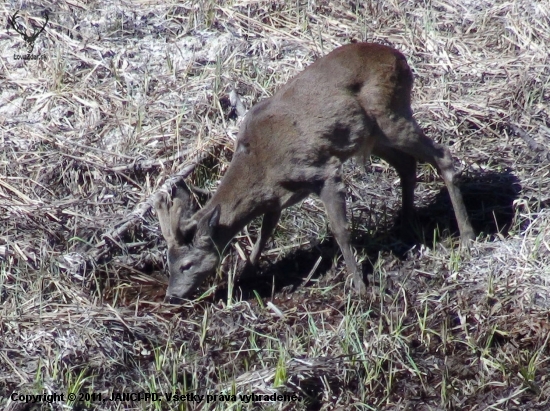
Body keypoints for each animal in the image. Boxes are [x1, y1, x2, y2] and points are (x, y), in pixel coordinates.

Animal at [156, 43, 478, 304]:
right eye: (167, 263)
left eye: (186, 264)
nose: (171, 296)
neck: (260, 165)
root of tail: (400, 58)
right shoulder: (278, 196)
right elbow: (264, 232)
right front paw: (245, 273)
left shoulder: (323, 170)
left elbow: (340, 230)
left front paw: (360, 286)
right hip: (373, 135)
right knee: (407, 164)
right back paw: (406, 224)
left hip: (390, 115)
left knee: (442, 155)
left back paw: (467, 236)